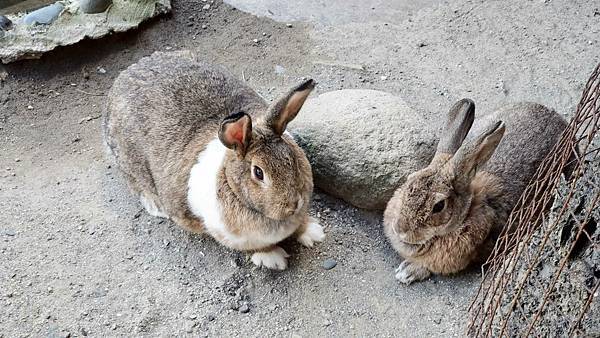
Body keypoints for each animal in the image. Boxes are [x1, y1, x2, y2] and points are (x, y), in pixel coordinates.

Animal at [105, 50, 326, 270]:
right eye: (258, 172)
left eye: (291, 158)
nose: (293, 205)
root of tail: (123, 77)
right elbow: (255, 248)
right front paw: (272, 258)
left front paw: (313, 232)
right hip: (130, 163)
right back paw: (156, 206)